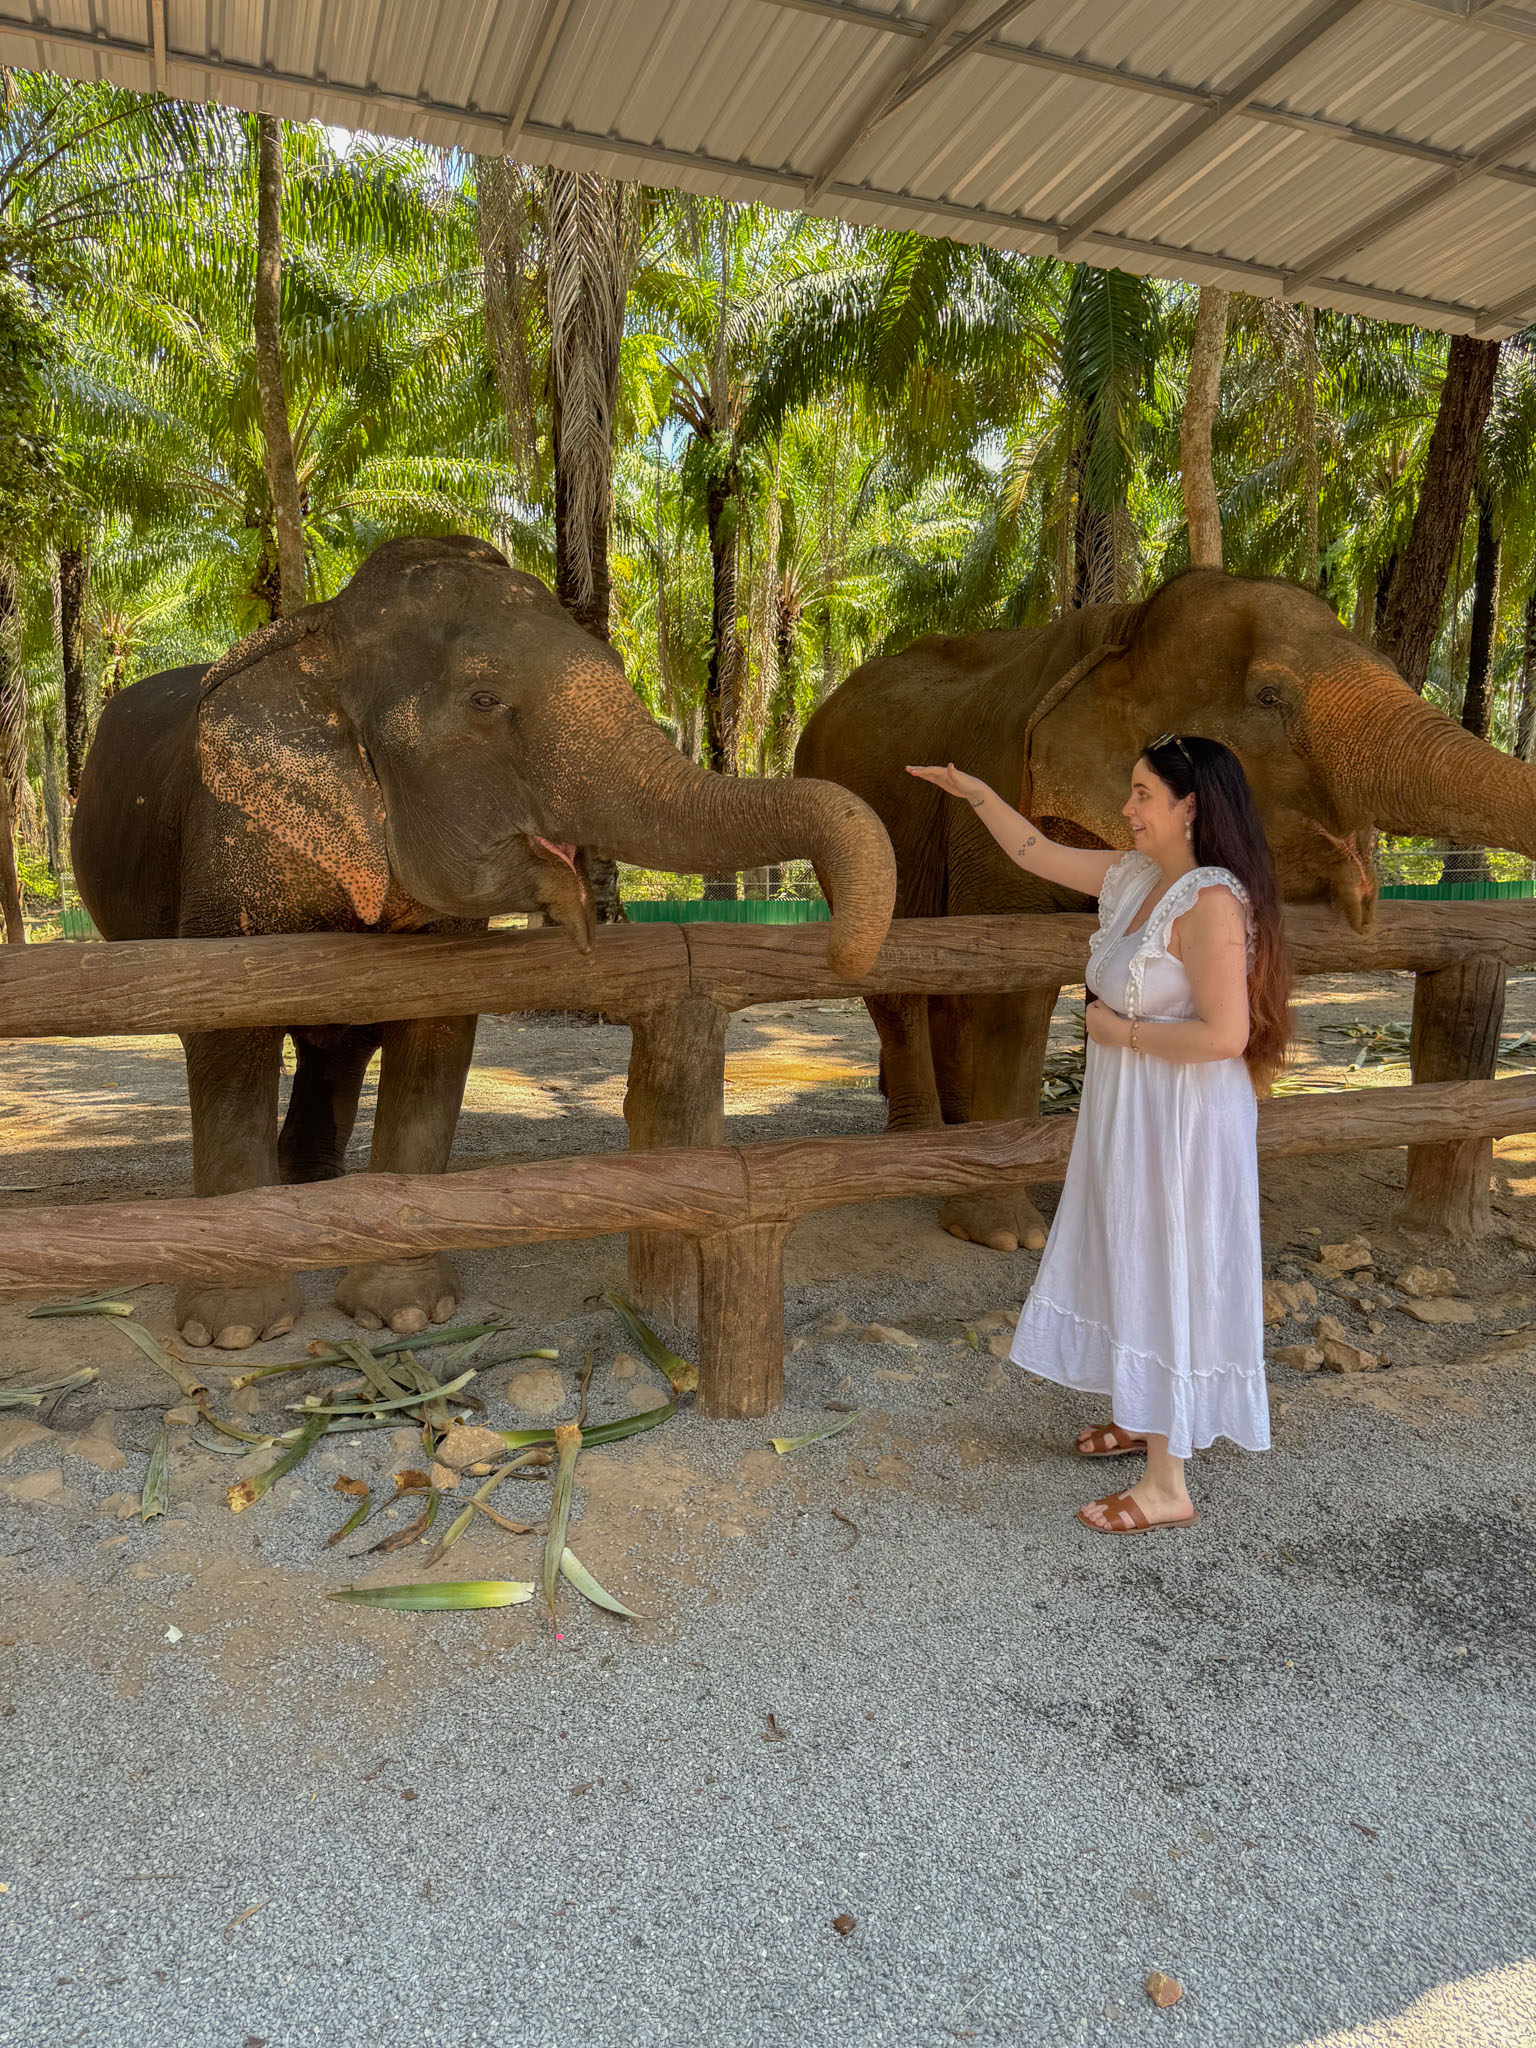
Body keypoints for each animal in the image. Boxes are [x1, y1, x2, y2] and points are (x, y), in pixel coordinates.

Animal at [75, 536, 901, 1351]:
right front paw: (234, 1332)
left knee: (339, 1043)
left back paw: (317, 1191)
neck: (324, 636)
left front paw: (406, 1314)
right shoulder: (232, 843)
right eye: (484, 701)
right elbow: (226, 1031)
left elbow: (437, 1030)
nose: (843, 952)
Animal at [798, 569, 1536, 1253]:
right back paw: (920, 1139)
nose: (1366, 905)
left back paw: (951, 1127)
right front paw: (1006, 1236)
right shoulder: (1005, 796)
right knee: (899, 983)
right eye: (1269, 697)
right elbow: (1011, 987)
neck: (1122, 630)